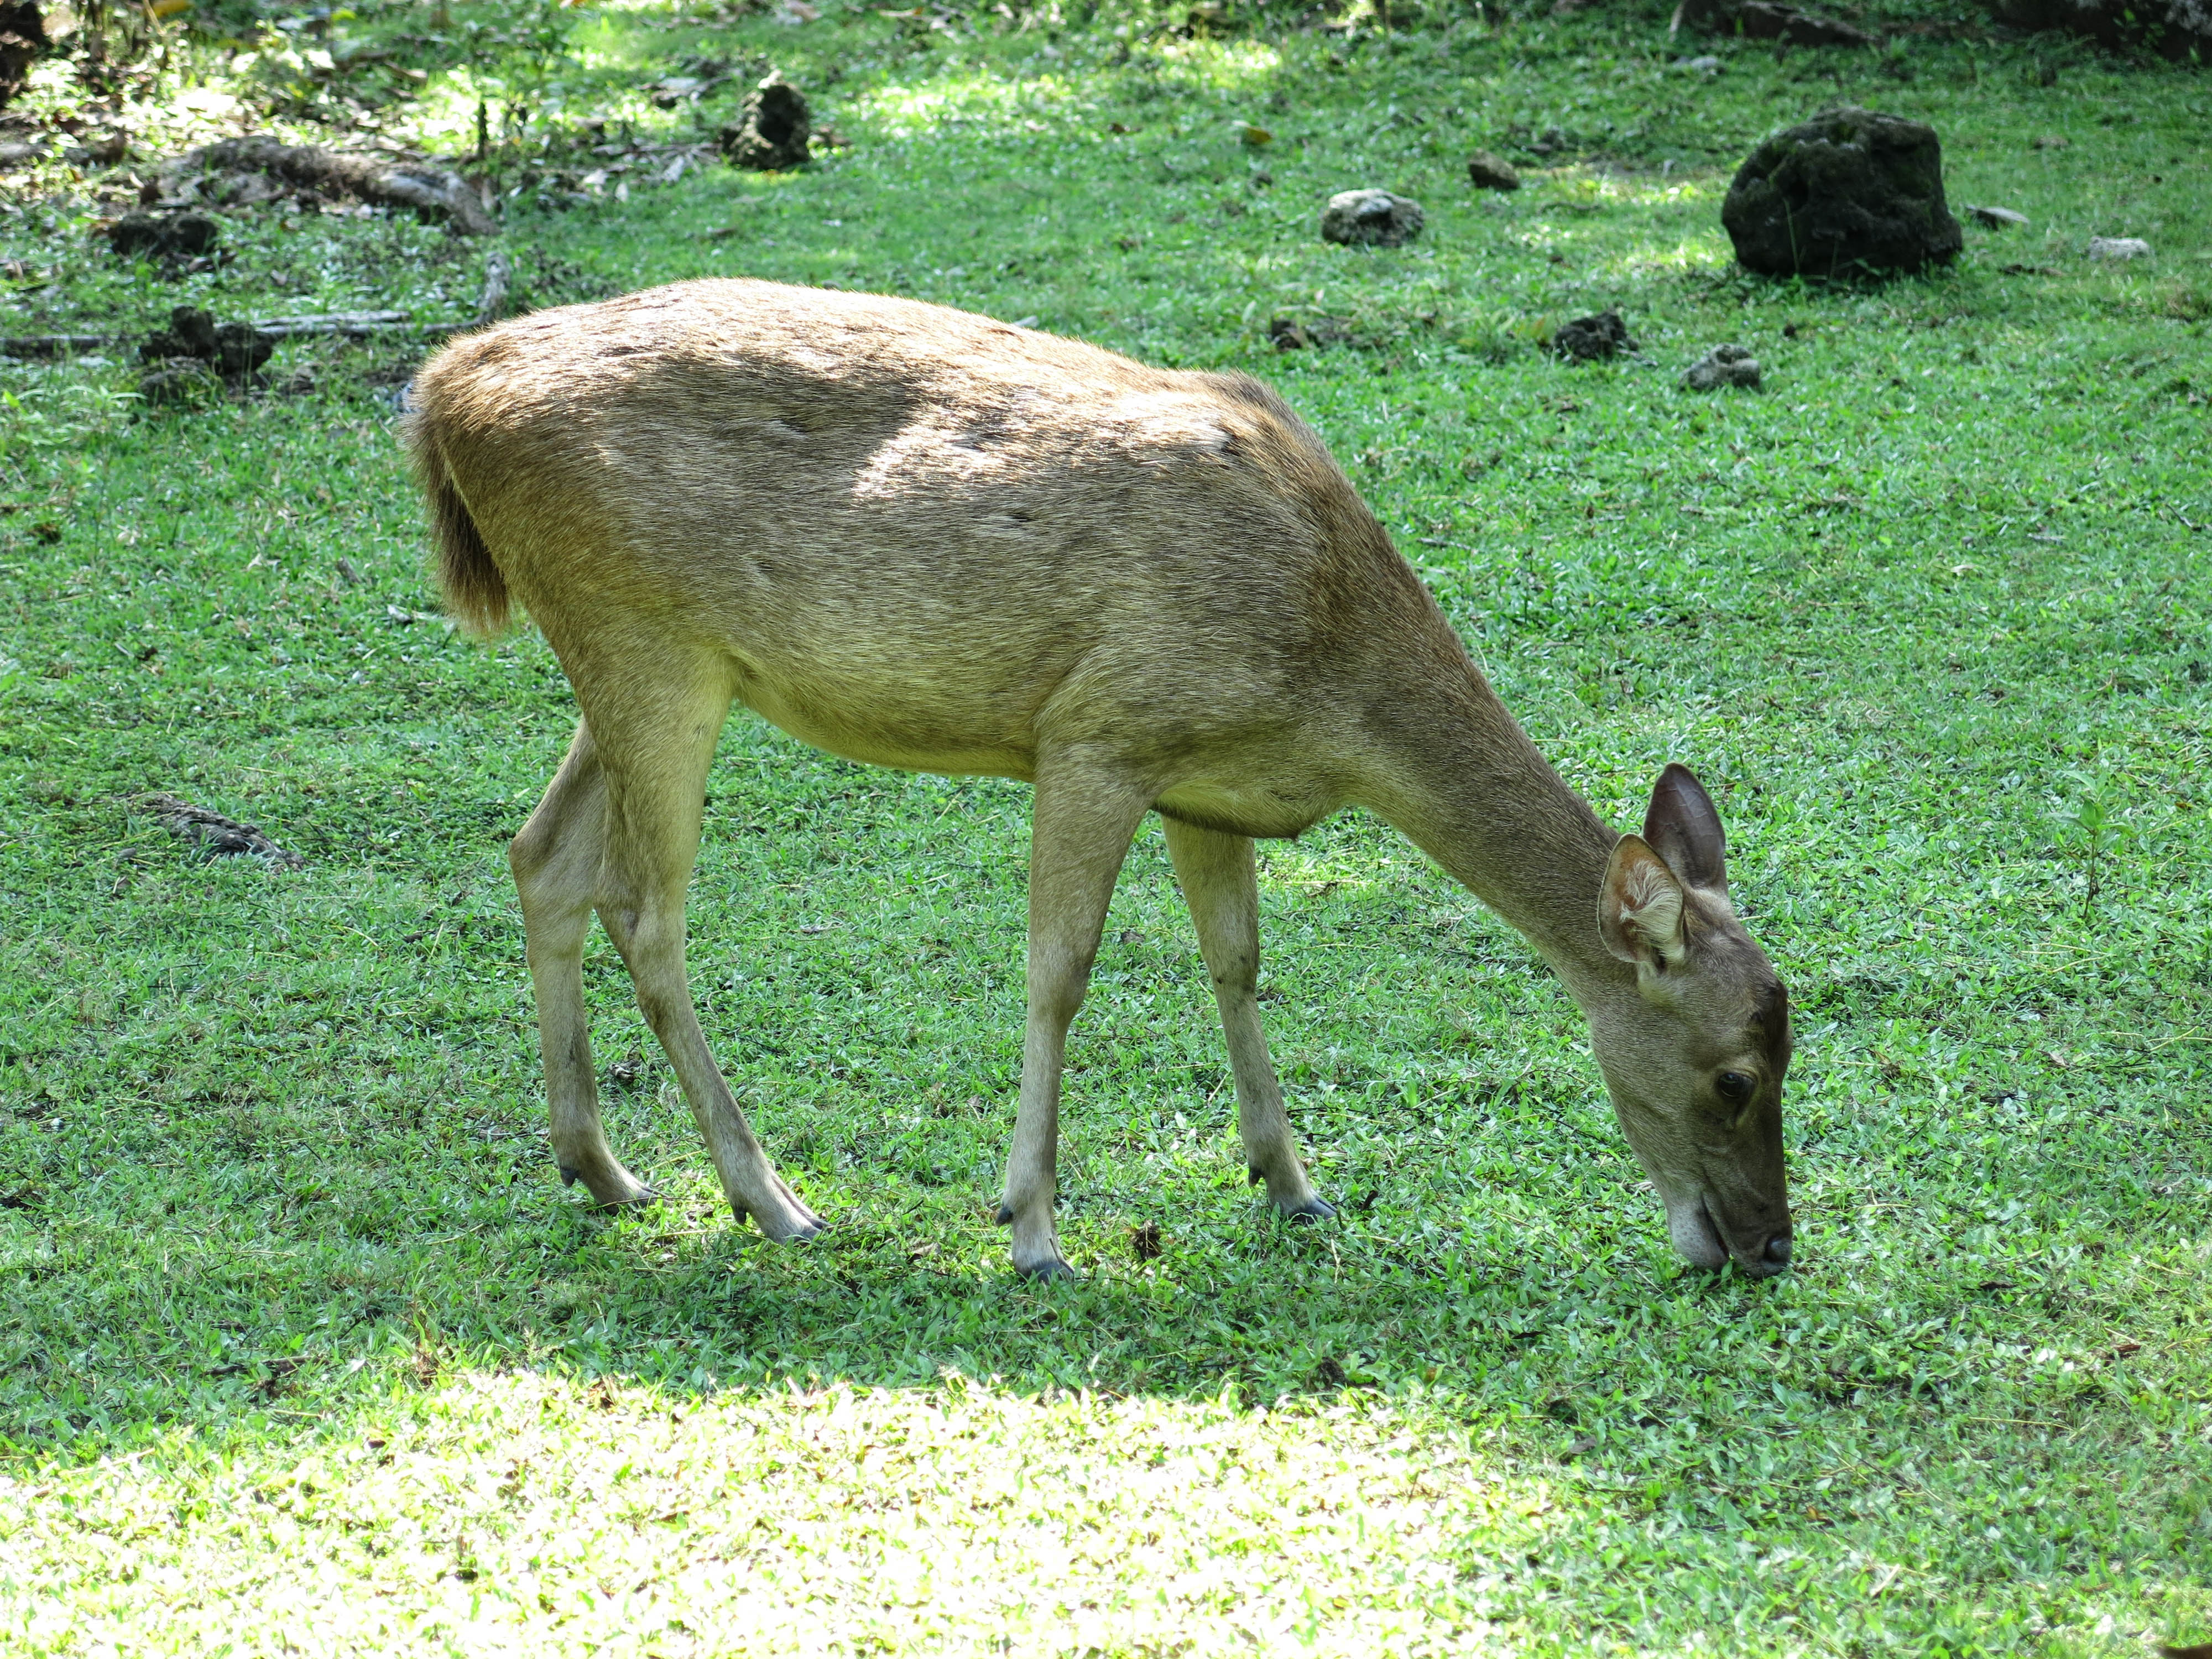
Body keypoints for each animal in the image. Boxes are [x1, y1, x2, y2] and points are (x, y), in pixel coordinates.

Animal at [404, 278, 1795, 1283]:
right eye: (1734, 1076)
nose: (1767, 1248)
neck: (1331, 686)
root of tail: (440, 395)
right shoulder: (1097, 731)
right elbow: (1058, 971)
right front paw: (1030, 1226)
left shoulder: (1203, 781)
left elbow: (1236, 960)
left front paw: (1290, 1183)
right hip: (642, 641)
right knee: (645, 912)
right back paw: (771, 1200)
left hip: (639, 661)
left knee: (541, 856)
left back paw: (602, 1168)